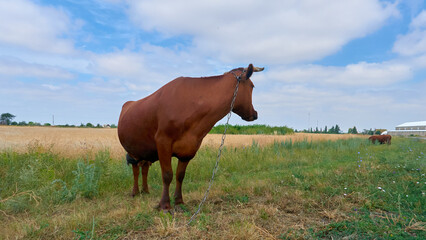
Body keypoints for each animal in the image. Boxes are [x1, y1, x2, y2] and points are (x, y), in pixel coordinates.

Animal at [116, 64, 262, 211]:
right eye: (252, 86)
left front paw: (179, 201)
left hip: (145, 152)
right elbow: (167, 175)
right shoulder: (163, 141)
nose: (255, 114)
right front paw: (164, 205)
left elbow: (180, 175)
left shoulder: (189, 148)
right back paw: (135, 192)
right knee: (135, 170)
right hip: (132, 151)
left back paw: (145, 191)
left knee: (145, 167)